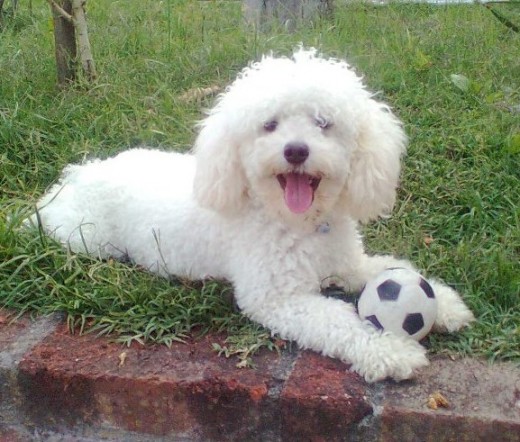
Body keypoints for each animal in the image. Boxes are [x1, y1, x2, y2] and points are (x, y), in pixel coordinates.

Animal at [32, 47, 474, 380]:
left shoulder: (347, 264)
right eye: (269, 125)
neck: (300, 223)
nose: (295, 150)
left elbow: (390, 270)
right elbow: (339, 320)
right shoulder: (275, 297)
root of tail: (75, 176)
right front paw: (391, 351)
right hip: (86, 238)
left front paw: (445, 304)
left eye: (323, 123)